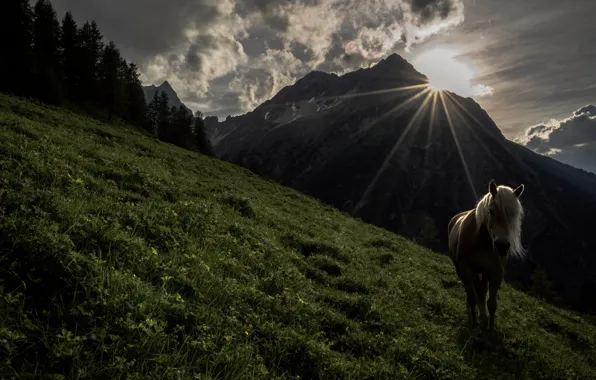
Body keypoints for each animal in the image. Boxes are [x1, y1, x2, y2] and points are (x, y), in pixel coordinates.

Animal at [448, 180, 528, 332]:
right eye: (491, 211)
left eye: (514, 214)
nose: (502, 246)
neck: (482, 241)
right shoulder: (466, 269)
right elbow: (472, 298)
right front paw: (474, 323)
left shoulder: (496, 273)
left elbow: (491, 303)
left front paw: (490, 328)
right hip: (462, 270)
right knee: (471, 292)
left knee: (482, 290)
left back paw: (483, 316)